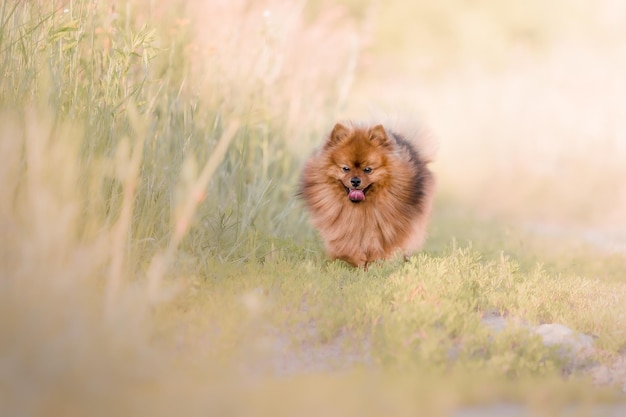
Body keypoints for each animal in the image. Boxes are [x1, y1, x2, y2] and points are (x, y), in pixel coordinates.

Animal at [298, 122, 434, 268]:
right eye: (345, 168)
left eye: (368, 169)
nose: (355, 181)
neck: (360, 210)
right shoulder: (341, 225)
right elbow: (345, 245)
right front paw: (355, 260)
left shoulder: (385, 226)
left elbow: (380, 245)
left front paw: (374, 264)